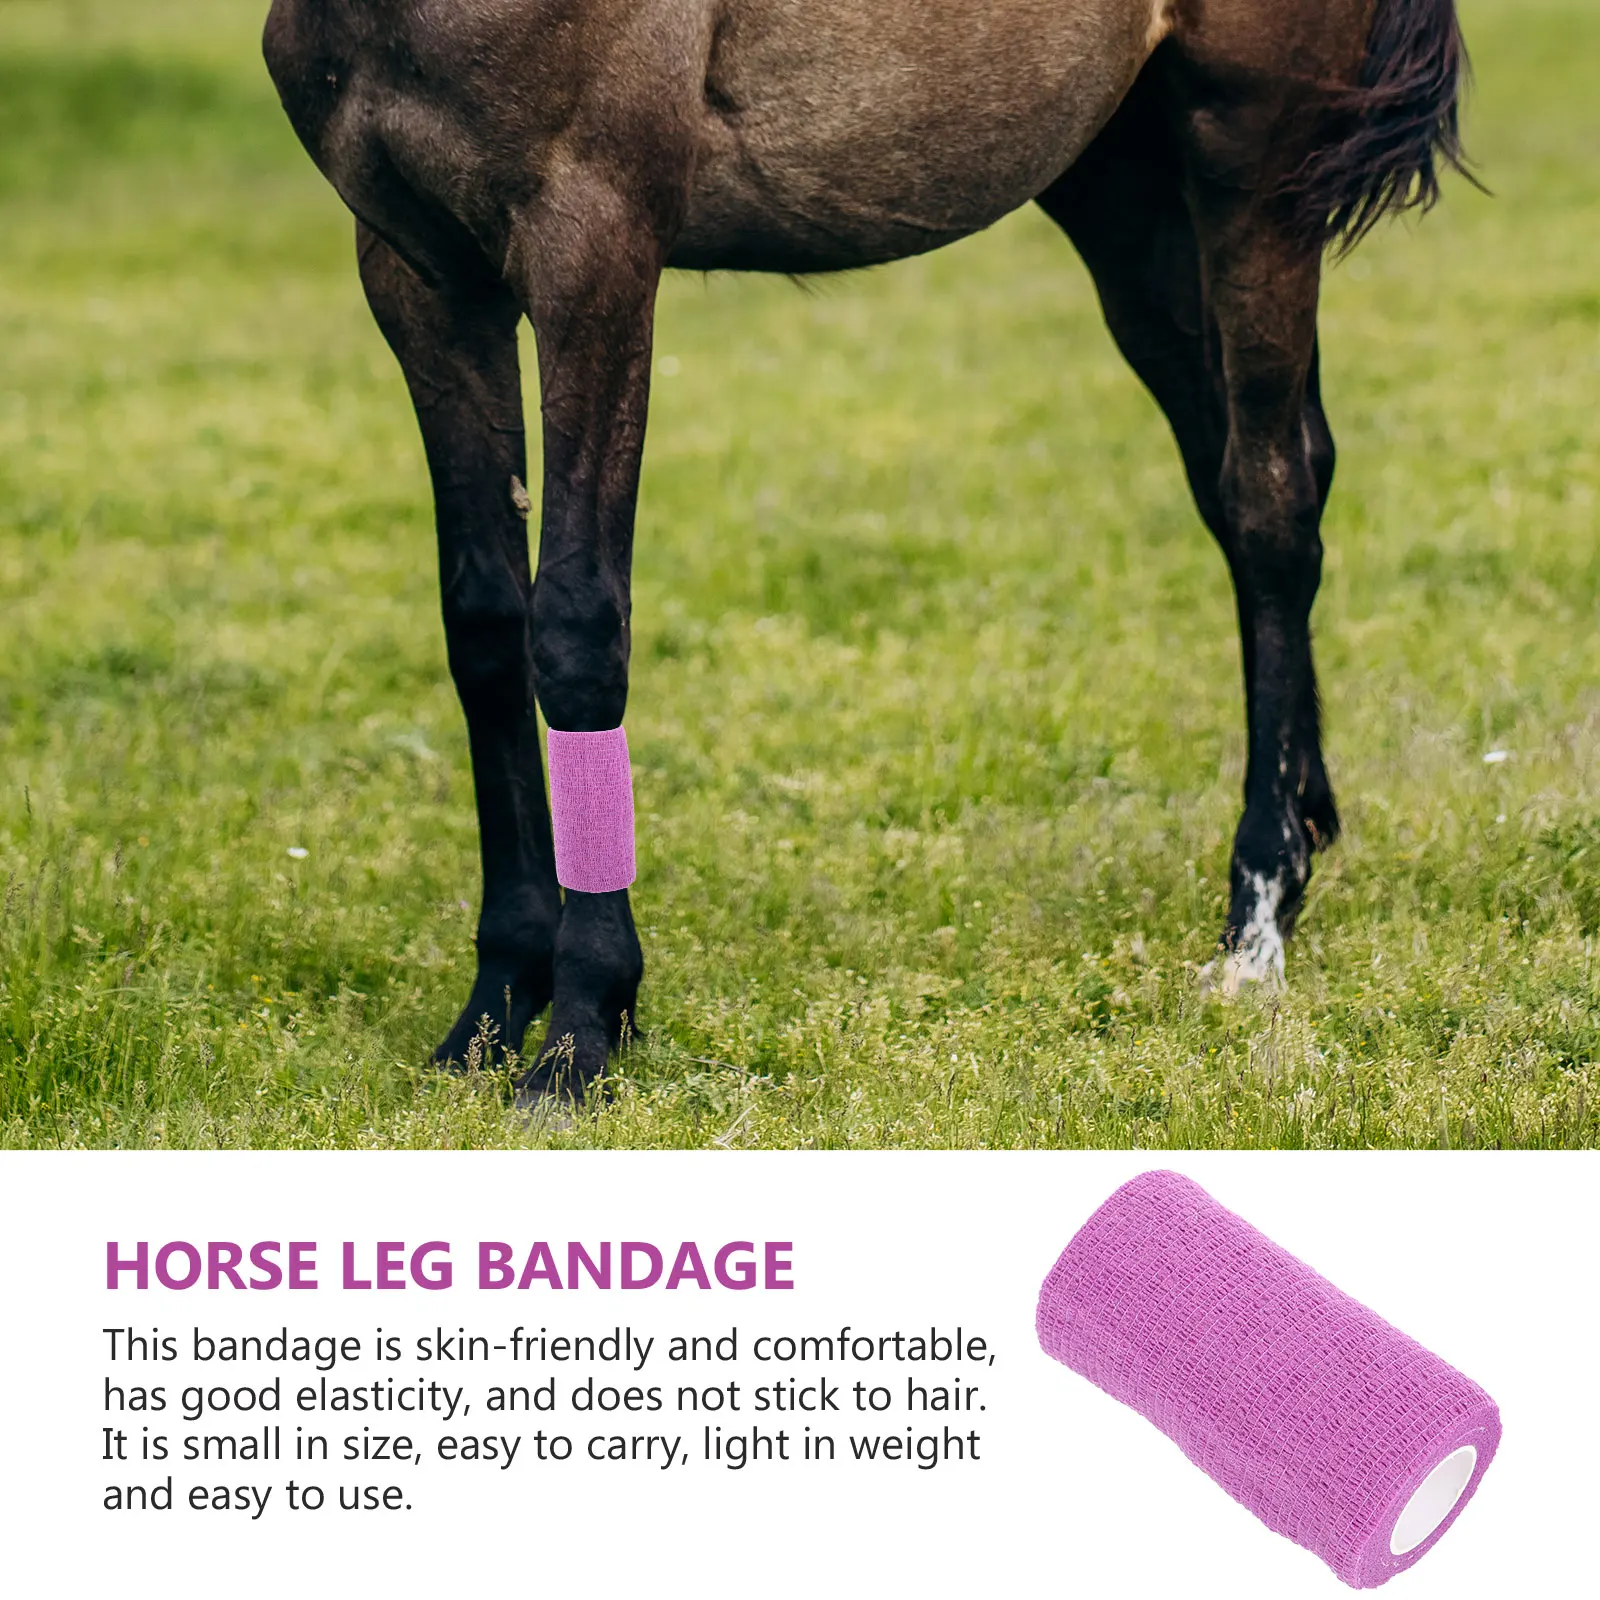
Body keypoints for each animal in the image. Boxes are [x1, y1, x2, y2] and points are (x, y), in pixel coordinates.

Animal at [261, 0, 1470, 1093]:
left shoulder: (593, 247)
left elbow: (574, 626)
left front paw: (583, 1029)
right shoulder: (420, 274)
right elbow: (484, 625)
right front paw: (494, 1010)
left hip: (1252, 164)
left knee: (1268, 508)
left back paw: (1257, 921)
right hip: (1123, 189)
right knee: (1259, 473)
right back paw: (1306, 826)